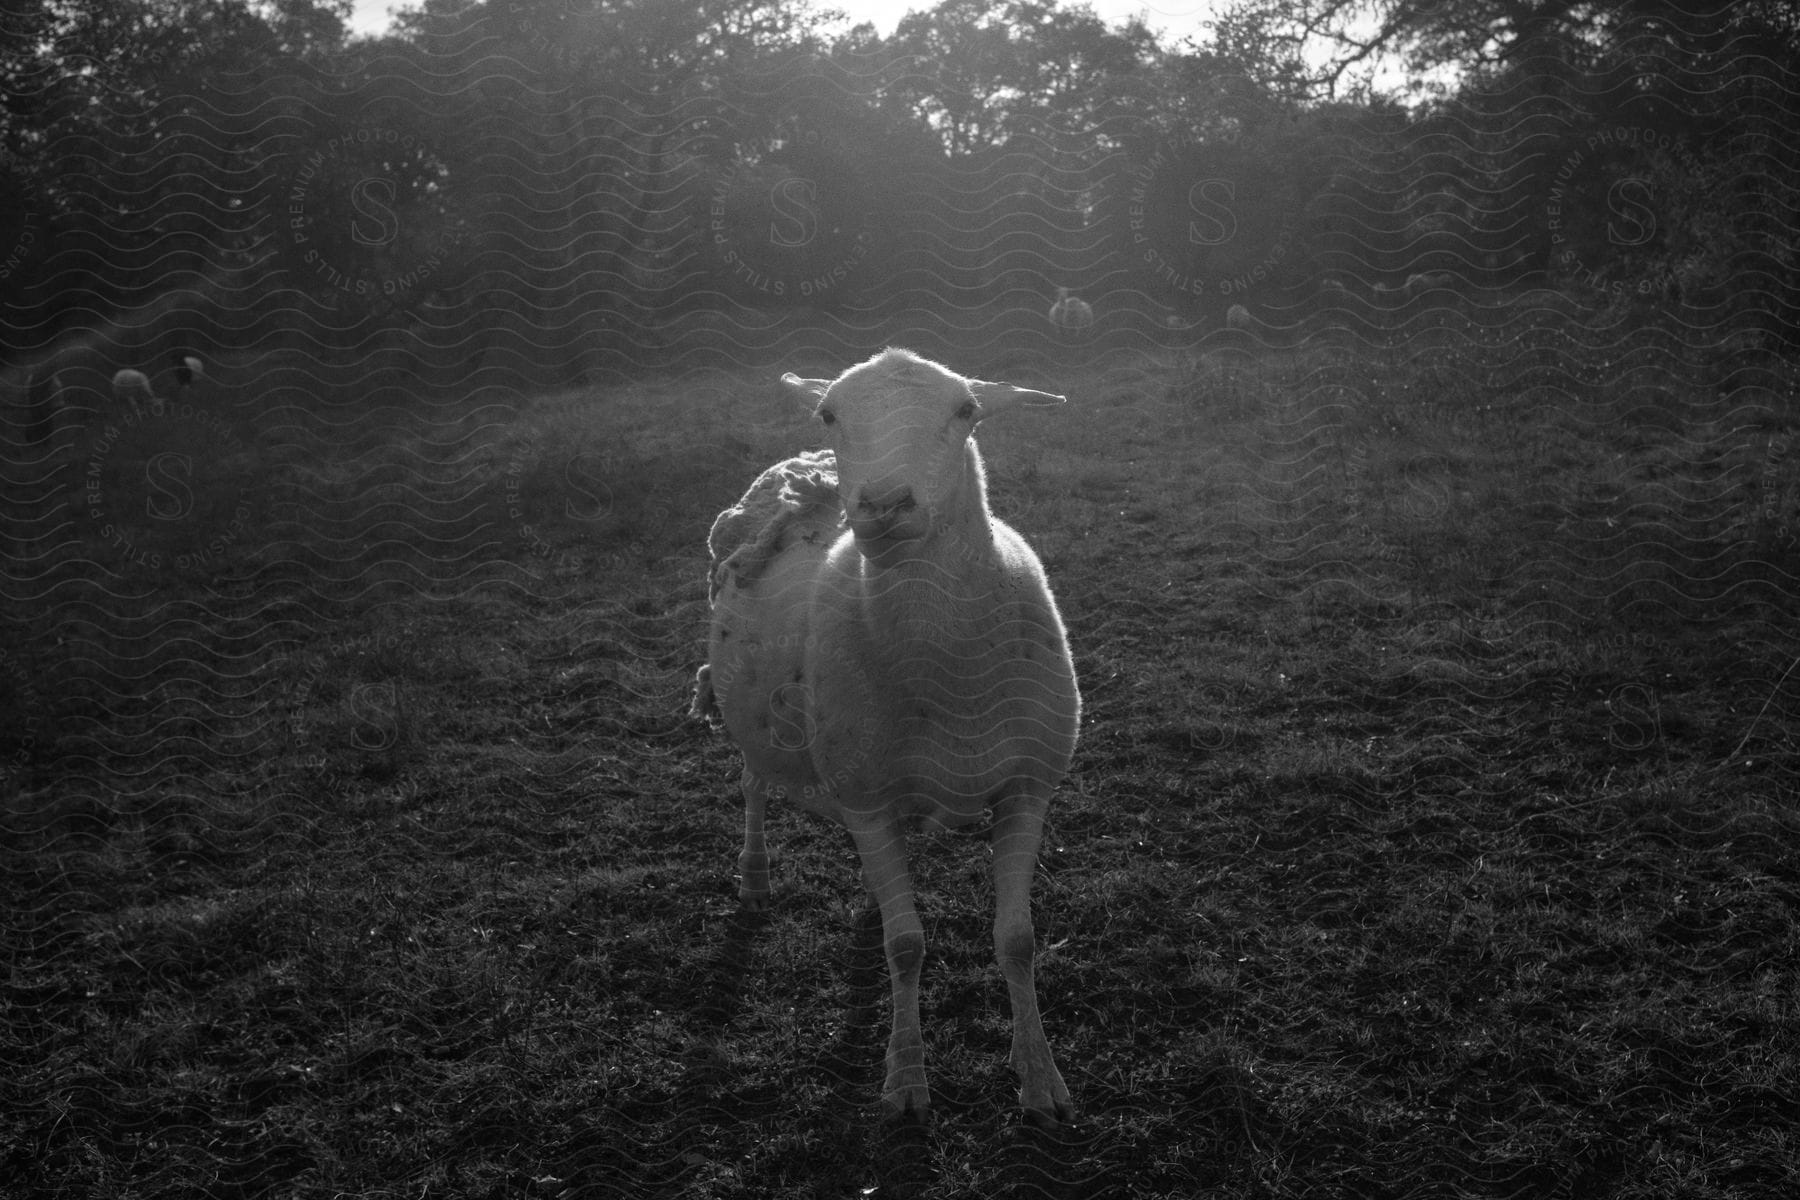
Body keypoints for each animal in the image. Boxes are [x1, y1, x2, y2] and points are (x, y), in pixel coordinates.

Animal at [694, 345, 1072, 1129]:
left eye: (966, 410)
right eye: (829, 413)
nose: (884, 505)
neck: (949, 675)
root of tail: (802, 468)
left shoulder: (1028, 786)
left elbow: (1017, 942)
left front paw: (1040, 1077)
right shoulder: (866, 800)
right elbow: (905, 947)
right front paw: (905, 1080)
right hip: (759, 723)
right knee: (752, 784)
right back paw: (755, 875)